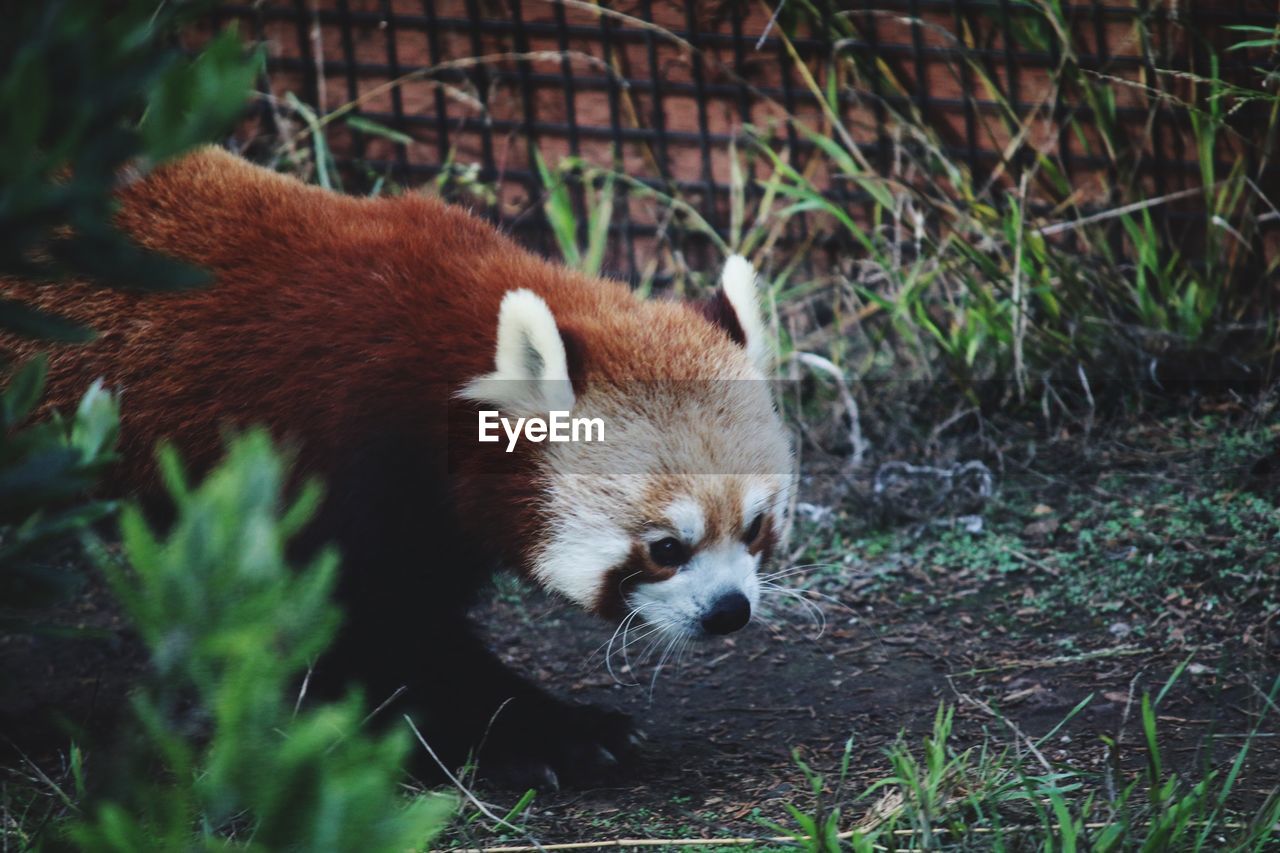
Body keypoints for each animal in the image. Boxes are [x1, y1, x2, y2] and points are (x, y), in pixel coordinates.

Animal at [2, 147, 788, 788]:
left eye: (755, 529)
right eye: (665, 547)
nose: (729, 611)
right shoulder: (336, 451)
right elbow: (373, 628)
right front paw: (544, 733)